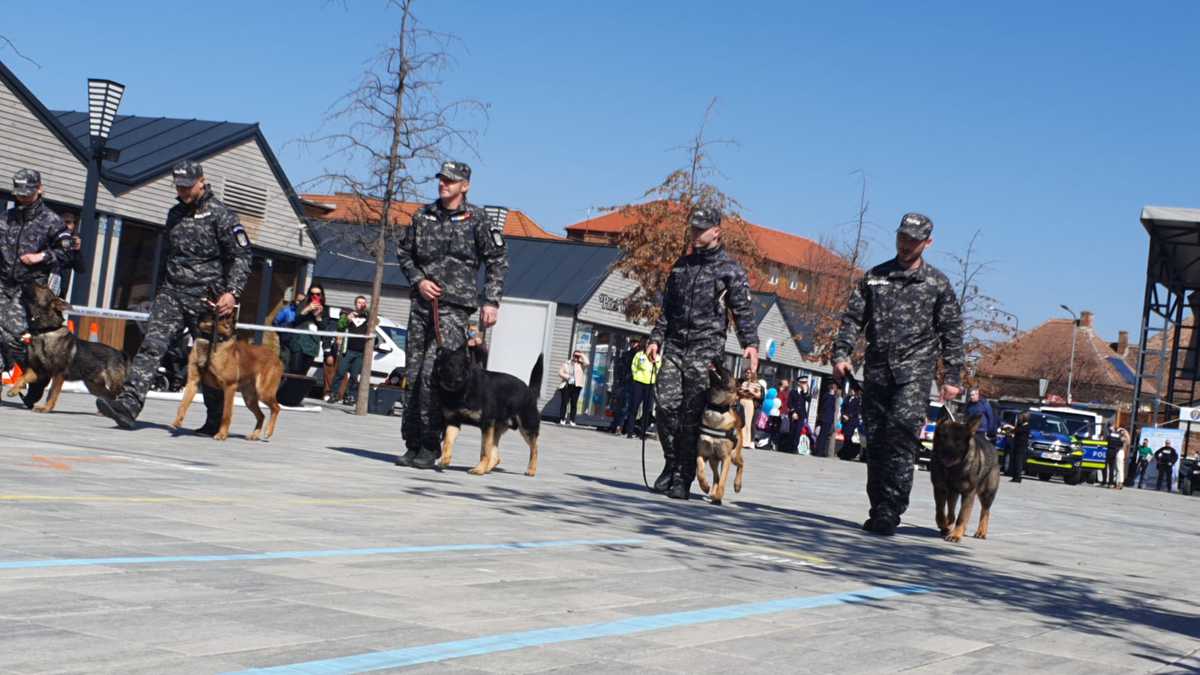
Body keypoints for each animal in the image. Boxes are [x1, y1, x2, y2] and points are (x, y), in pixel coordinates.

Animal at [6, 282, 127, 413]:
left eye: (43, 287)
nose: (27, 280)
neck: (45, 331)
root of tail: (119, 353)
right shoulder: (37, 372)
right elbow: (22, 378)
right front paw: (13, 390)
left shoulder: (58, 374)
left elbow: (52, 393)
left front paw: (46, 408)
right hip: (93, 386)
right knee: (110, 395)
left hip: (113, 384)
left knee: (119, 394)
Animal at [169, 312, 283, 441]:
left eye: (214, 314)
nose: (196, 313)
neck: (211, 340)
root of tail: (276, 357)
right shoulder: (193, 382)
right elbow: (183, 405)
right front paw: (177, 422)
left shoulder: (229, 387)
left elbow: (226, 414)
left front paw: (222, 434)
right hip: (249, 398)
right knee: (261, 415)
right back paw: (254, 434)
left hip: (263, 392)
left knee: (276, 408)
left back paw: (268, 431)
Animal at [436, 343, 544, 475]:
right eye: (450, 365)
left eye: (461, 366)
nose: (459, 380)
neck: (463, 390)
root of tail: (530, 390)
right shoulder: (453, 422)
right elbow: (447, 443)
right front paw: (444, 460)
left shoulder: (486, 425)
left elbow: (484, 451)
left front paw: (479, 469)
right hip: (497, 429)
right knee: (497, 457)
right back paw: (488, 469)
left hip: (527, 428)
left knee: (535, 449)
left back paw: (531, 470)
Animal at [696, 360, 748, 502]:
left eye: (728, 372)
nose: (716, 358)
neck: (717, 408)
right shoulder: (702, 453)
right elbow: (699, 471)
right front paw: (704, 486)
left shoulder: (726, 458)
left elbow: (723, 480)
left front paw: (719, 495)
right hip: (713, 460)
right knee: (716, 476)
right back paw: (712, 491)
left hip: (734, 455)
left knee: (741, 464)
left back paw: (737, 485)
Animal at [926, 410, 1003, 540]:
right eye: (943, 437)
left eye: (958, 440)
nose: (947, 451)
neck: (952, 469)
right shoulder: (940, 489)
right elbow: (940, 512)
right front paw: (944, 526)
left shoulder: (968, 494)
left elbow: (962, 516)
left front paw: (956, 535)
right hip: (953, 494)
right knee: (951, 512)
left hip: (987, 494)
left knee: (985, 511)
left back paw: (981, 532)